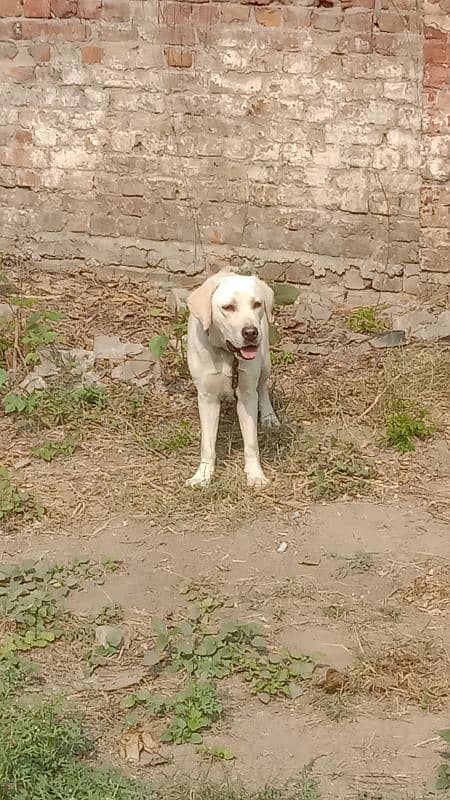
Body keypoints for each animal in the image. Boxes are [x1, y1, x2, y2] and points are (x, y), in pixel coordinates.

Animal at [185, 272, 278, 490]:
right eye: (228, 307)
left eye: (256, 304)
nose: (251, 332)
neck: (227, 353)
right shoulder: (207, 397)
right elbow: (207, 445)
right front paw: (203, 476)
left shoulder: (246, 395)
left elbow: (251, 443)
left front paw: (255, 475)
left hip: (265, 362)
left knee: (262, 387)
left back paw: (269, 417)